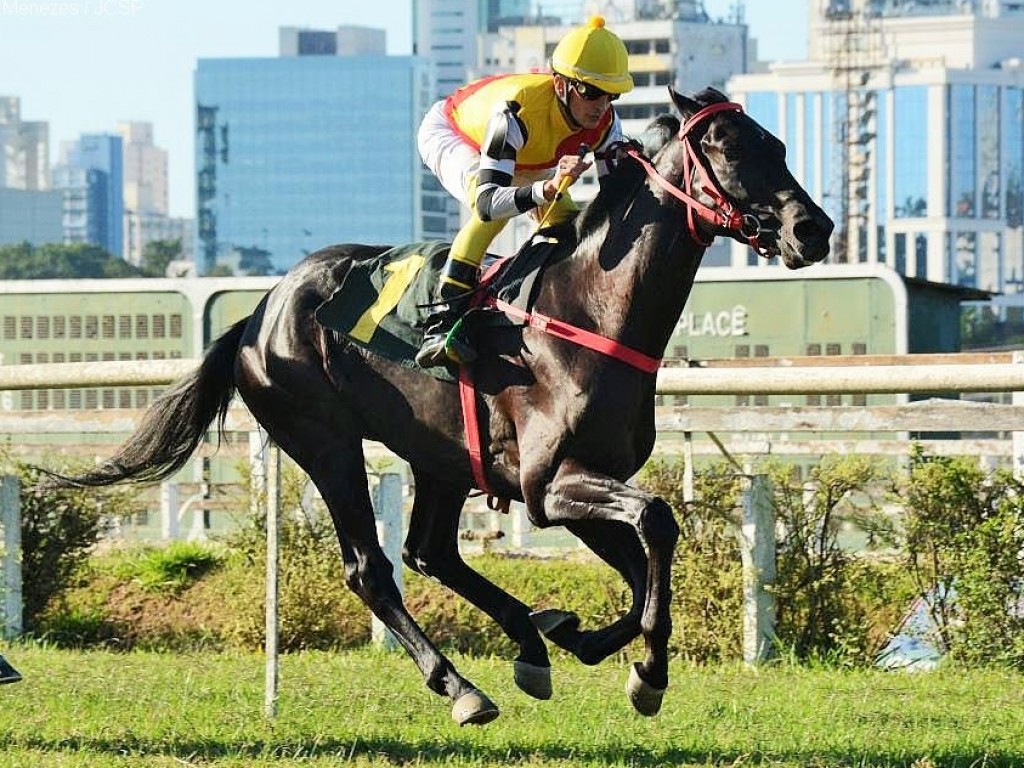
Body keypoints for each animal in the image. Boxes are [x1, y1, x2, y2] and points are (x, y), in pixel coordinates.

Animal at [44, 87, 835, 724]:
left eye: (777, 144)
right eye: (728, 147)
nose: (813, 229)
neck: (592, 310)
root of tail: (258, 311)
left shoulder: (566, 483)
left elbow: (642, 569)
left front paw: (591, 642)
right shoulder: (552, 485)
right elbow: (658, 524)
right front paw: (644, 672)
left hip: (442, 456)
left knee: (429, 552)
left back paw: (528, 643)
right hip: (325, 440)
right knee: (372, 568)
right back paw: (460, 687)